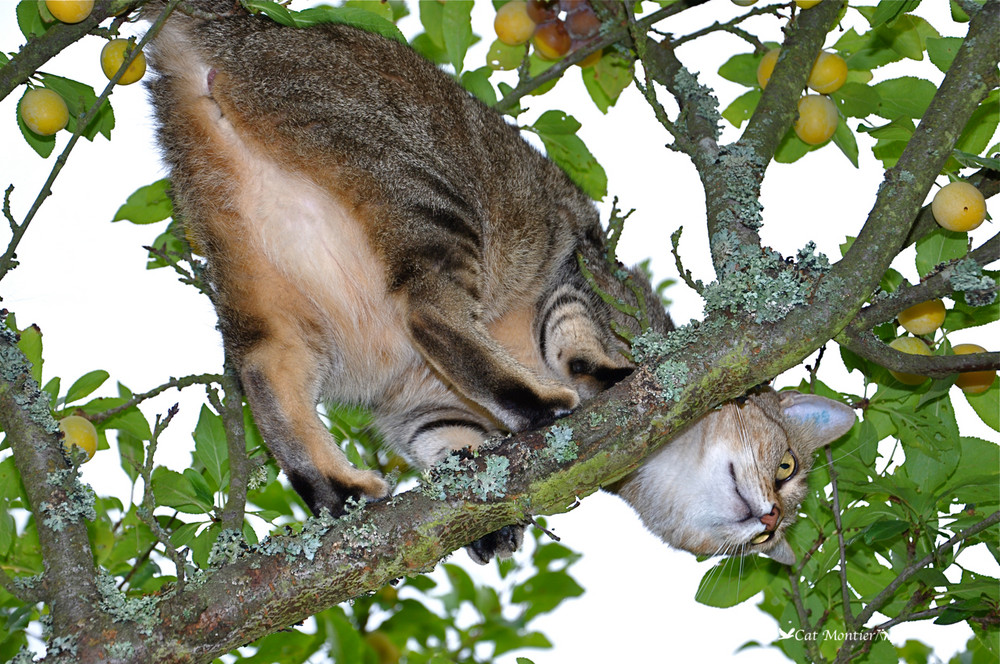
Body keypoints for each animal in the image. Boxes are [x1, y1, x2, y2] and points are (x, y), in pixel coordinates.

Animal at [145, 3, 856, 564]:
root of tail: (256, 30)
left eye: (770, 537)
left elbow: (447, 436)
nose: (770, 520)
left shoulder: (421, 407)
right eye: (787, 467)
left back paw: (337, 489)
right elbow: (576, 335)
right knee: (428, 314)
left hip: (259, 282)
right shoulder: (580, 271)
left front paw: (484, 503)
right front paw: (607, 374)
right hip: (434, 199)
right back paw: (536, 401)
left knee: (265, 372)